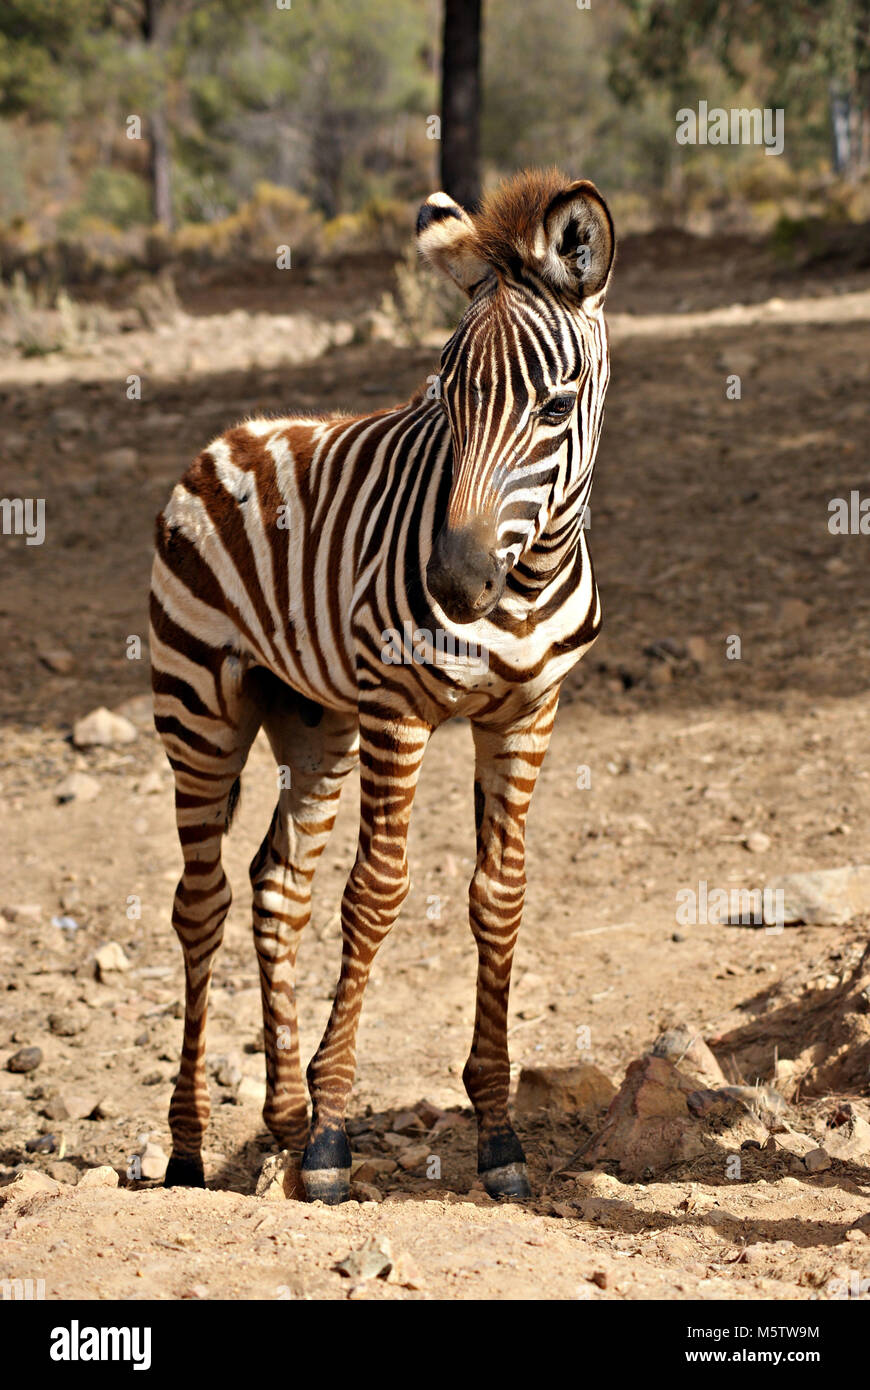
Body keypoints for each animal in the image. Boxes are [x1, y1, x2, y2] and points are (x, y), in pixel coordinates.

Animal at [148, 168, 614, 1200]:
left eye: (554, 408)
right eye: (445, 399)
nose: (454, 583)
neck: (523, 583)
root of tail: (237, 432)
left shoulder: (527, 713)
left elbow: (501, 894)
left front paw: (499, 1135)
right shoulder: (398, 712)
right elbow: (377, 894)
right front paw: (332, 1138)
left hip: (315, 721)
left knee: (277, 887)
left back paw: (280, 1121)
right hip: (197, 707)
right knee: (201, 904)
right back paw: (193, 1149)